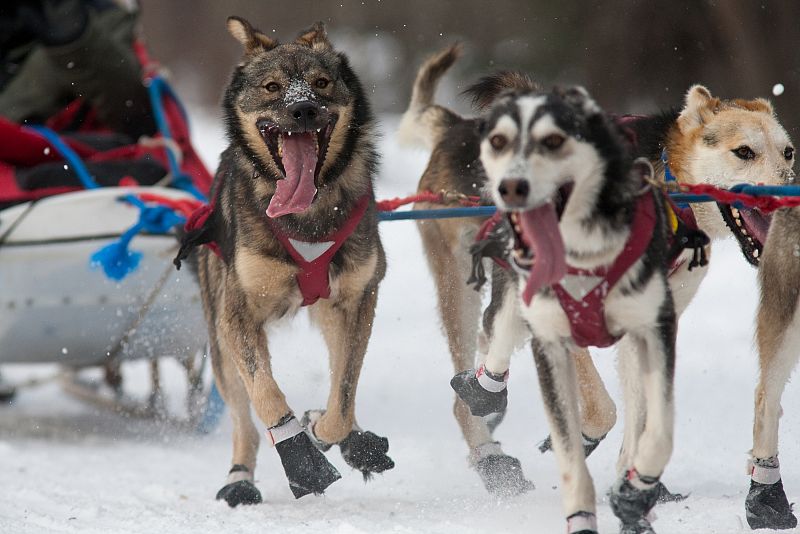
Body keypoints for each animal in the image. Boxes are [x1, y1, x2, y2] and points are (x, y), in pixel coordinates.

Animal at [175, 18, 394, 508]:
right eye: (273, 87)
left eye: (322, 83)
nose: (304, 110)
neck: (307, 217)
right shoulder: (238, 314)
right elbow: (267, 395)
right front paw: (302, 459)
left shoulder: (359, 298)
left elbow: (343, 394)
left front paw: (321, 429)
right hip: (221, 345)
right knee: (244, 420)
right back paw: (240, 478)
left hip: (332, 315)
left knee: (340, 383)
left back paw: (354, 440)